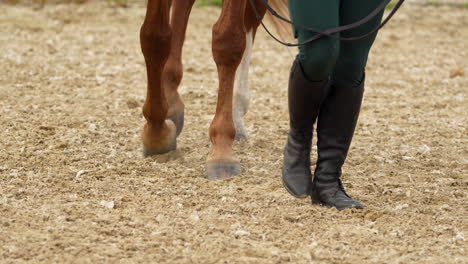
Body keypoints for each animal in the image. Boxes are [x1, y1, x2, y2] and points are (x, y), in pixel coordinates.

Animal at [137, 0, 288, 179]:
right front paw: (156, 133)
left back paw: (236, 114)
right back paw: (172, 98)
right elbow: (154, 36)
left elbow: (228, 40)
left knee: (250, 22)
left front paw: (222, 149)